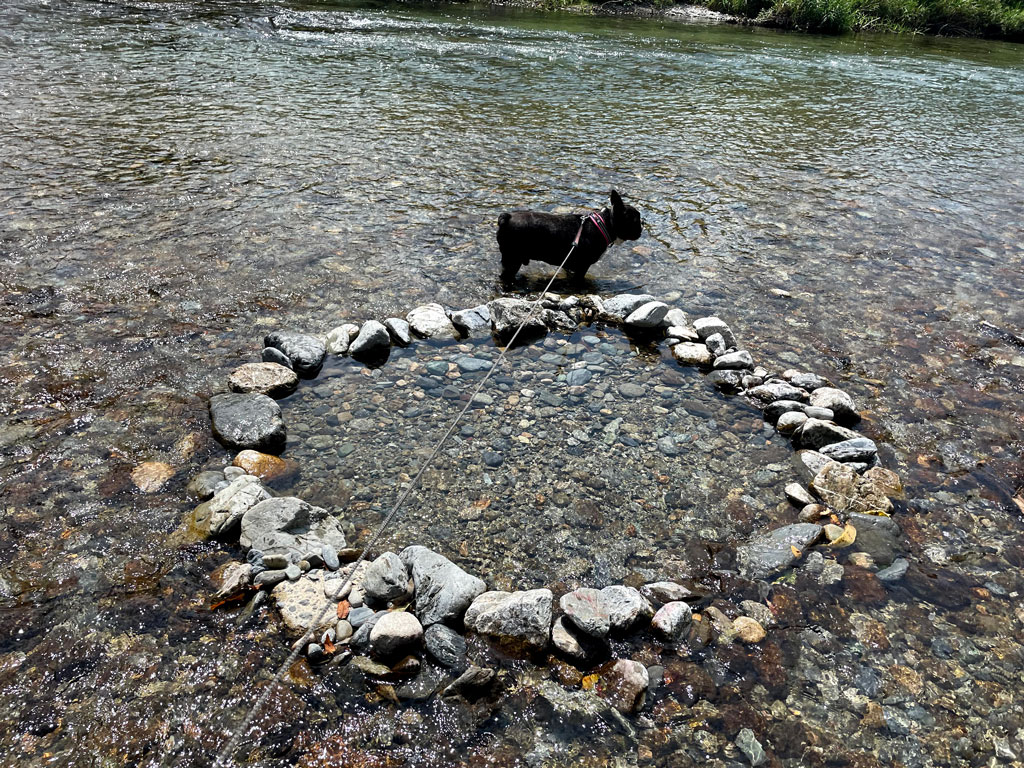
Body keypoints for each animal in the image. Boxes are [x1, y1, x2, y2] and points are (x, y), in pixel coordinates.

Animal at [493, 189, 638, 280]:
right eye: (636, 220)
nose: (641, 227)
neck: (604, 223)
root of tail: (507, 217)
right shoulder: (582, 267)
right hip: (512, 259)